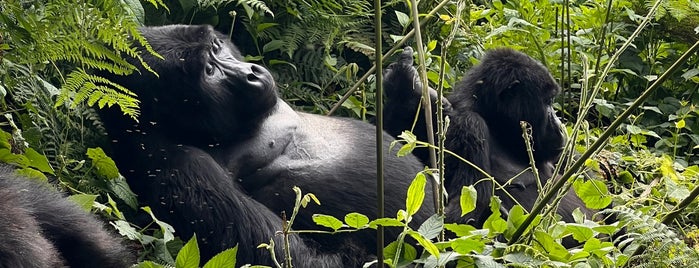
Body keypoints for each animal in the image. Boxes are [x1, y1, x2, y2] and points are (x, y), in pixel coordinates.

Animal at [95, 24, 430, 266]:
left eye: (216, 48)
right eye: (209, 72)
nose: (251, 74)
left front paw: (406, 94)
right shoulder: (178, 165)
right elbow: (281, 255)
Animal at [382, 47, 592, 225]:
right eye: (547, 101)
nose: (559, 125)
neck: (497, 126)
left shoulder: (564, 150)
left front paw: (404, 87)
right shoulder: (470, 123)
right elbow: (457, 216)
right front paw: (405, 89)